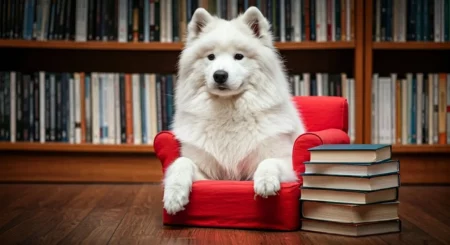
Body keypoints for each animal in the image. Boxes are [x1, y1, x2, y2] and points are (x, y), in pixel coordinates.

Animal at [162, 6, 306, 214]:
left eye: (239, 56)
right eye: (211, 57)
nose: (220, 75)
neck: (228, 110)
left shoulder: (287, 164)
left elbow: (269, 161)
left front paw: (266, 181)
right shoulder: (206, 175)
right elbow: (181, 163)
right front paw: (174, 196)